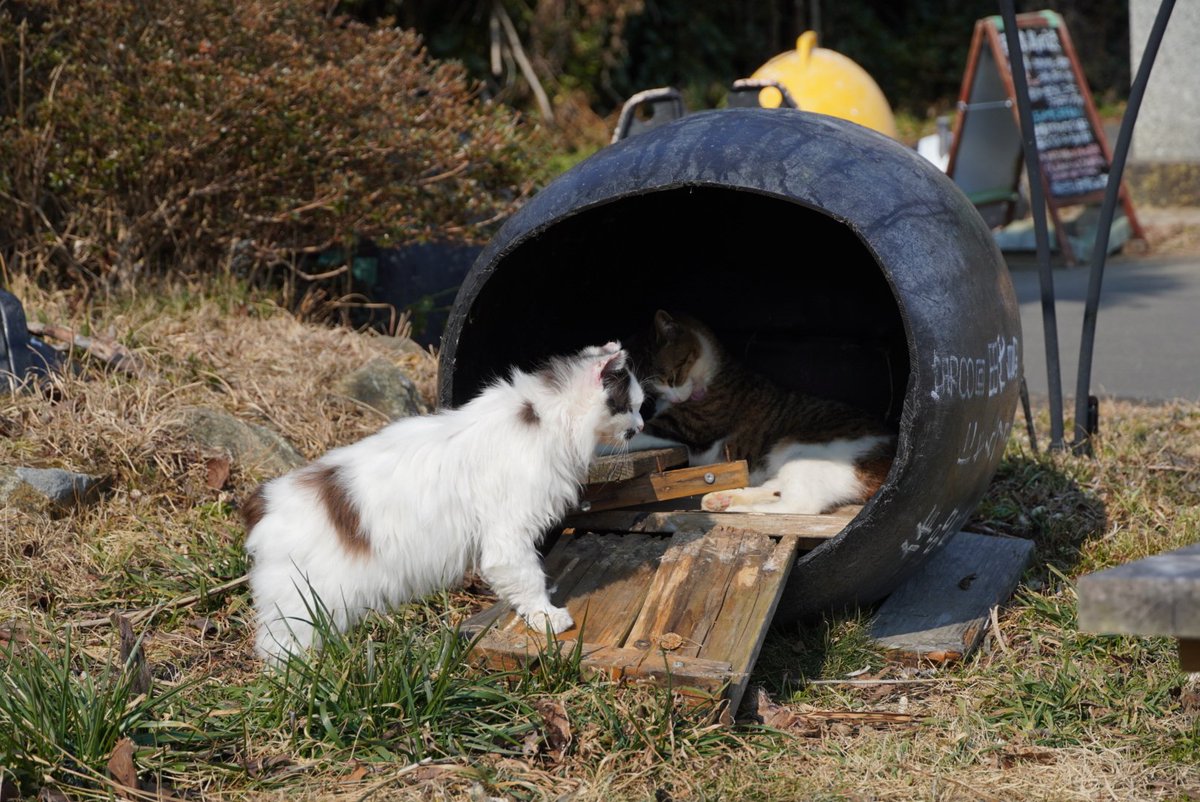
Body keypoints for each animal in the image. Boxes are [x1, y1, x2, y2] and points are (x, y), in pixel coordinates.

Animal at [237, 340, 643, 662]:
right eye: (630, 406)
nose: (640, 427)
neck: (545, 418)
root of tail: (266, 501)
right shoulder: (508, 537)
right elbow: (527, 578)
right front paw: (547, 616)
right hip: (303, 605)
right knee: (278, 648)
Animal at [628, 309, 892, 516]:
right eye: (652, 390)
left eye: (672, 377)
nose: (674, 398)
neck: (710, 373)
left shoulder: (686, 428)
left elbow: (638, 431)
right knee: (775, 489)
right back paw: (722, 500)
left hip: (802, 451)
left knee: (800, 506)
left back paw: (741, 509)